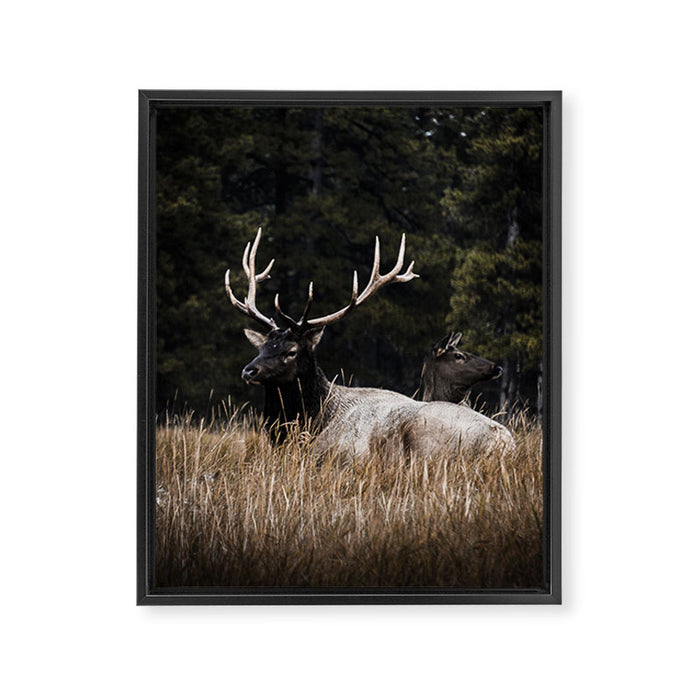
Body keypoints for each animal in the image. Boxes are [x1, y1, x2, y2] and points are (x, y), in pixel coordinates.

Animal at [225, 228, 515, 463]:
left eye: (291, 351)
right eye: (262, 348)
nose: (249, 370)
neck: (314, 420)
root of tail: (504, 443)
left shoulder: (345, 455)